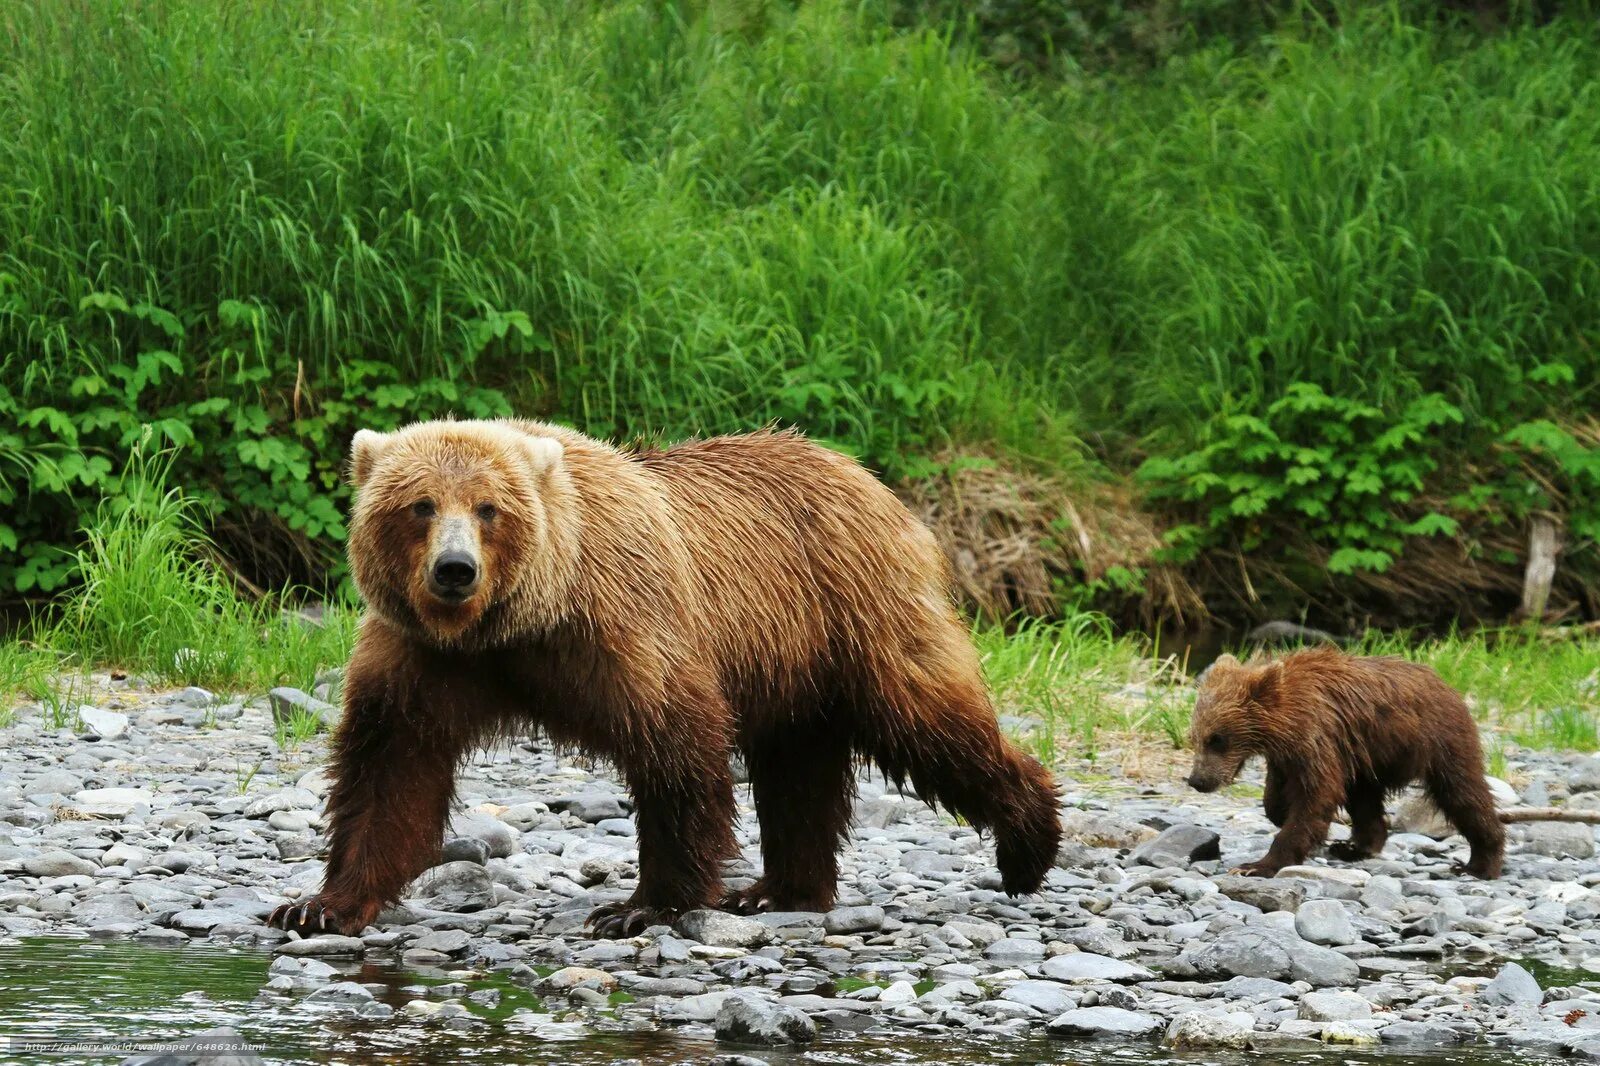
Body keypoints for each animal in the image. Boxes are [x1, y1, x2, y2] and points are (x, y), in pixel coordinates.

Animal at [265, 419, 1062, 934]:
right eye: (420, 505)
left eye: (488, 508)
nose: (454, 570)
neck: (514, 622)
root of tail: (867, 478)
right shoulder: (423, 656)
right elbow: (392, 768)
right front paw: (318, 904)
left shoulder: (622, 620)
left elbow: (675, 743)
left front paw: (640, 905)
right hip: (795, 667)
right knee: (799, 772)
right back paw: (780, 891)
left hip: (854, 611)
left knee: (930, 721)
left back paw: (1028, 843)